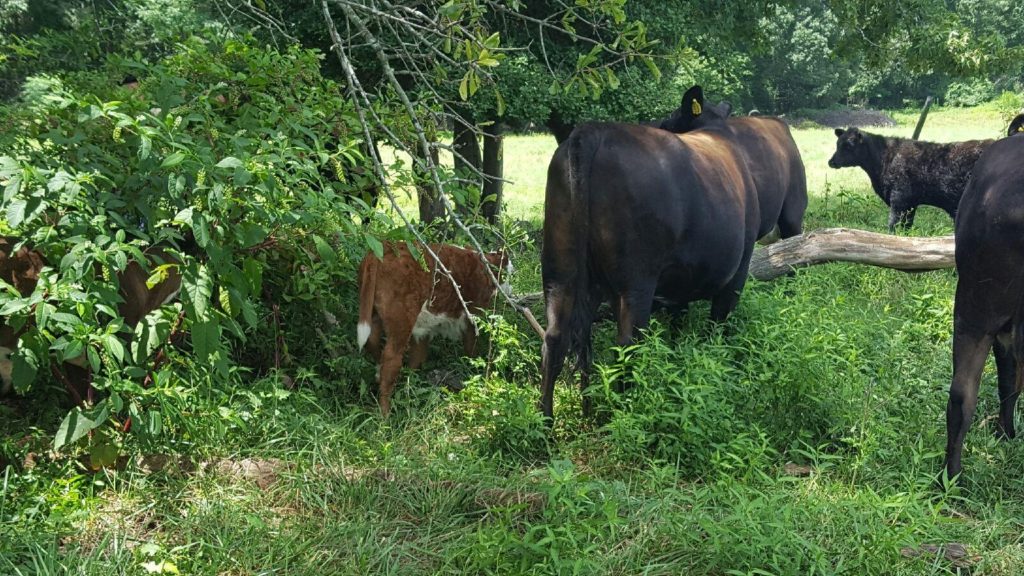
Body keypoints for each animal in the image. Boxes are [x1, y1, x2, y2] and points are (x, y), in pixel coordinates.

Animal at [358, 240, 509, 412]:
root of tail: (385, 246)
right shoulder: (473, 316)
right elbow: (472, 347)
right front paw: (477, 369)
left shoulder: (423, 329)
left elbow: (418, 356)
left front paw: (411, 384)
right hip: (402, 318)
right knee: (391, 358)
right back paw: (385, 413)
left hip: (374, 311)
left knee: (372, 340)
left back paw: (379, 373)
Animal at [540, 118, 757, 422]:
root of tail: (593, 130)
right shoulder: (737, 272)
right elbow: (718, 324)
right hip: (636, 282)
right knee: (627, 343)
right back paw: (626, 414)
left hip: (560, 271)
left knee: (556, 338)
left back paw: (548, 420)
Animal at [827, 127, 995, 230]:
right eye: (837, 143)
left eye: (849, 145)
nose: (831, 162)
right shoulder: (910, 204)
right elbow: (906, 227)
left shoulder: (899, 199)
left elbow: (893, 226)